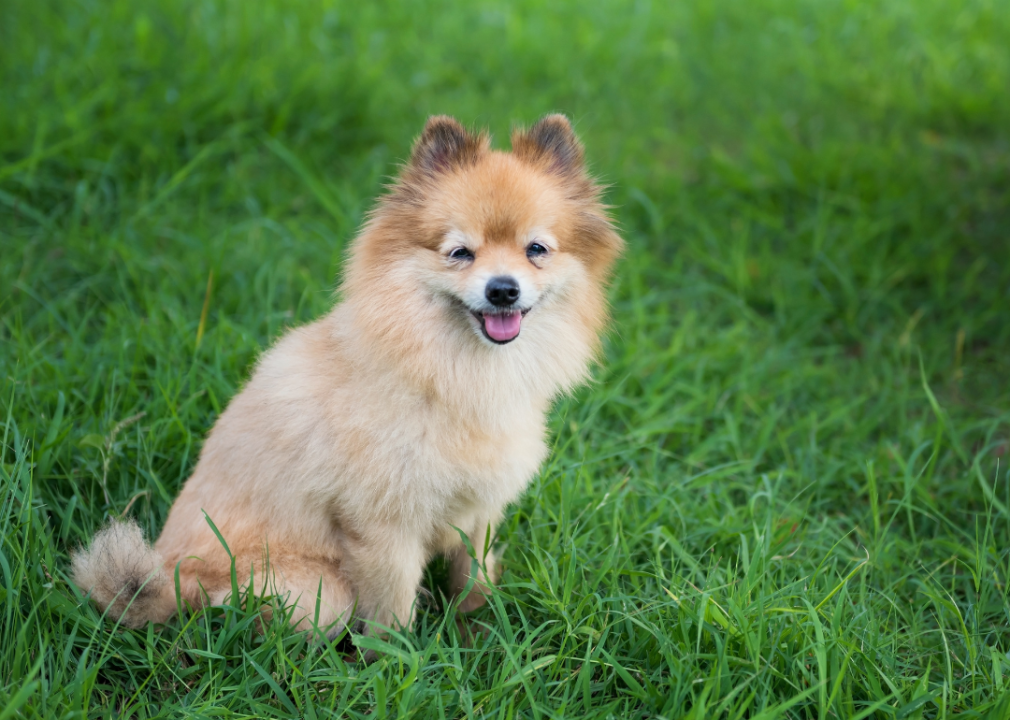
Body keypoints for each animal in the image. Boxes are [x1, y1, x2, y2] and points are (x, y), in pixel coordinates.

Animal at [71, 115, 622, 638]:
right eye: (460, 253)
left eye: (536, 250)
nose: (503, 289)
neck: (449, 371)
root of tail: (171, 577)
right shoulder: (383, 527)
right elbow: (392, 612)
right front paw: (399, 659)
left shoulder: (478, 511)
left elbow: (474, 578)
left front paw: (479, 631)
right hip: (317, 592)